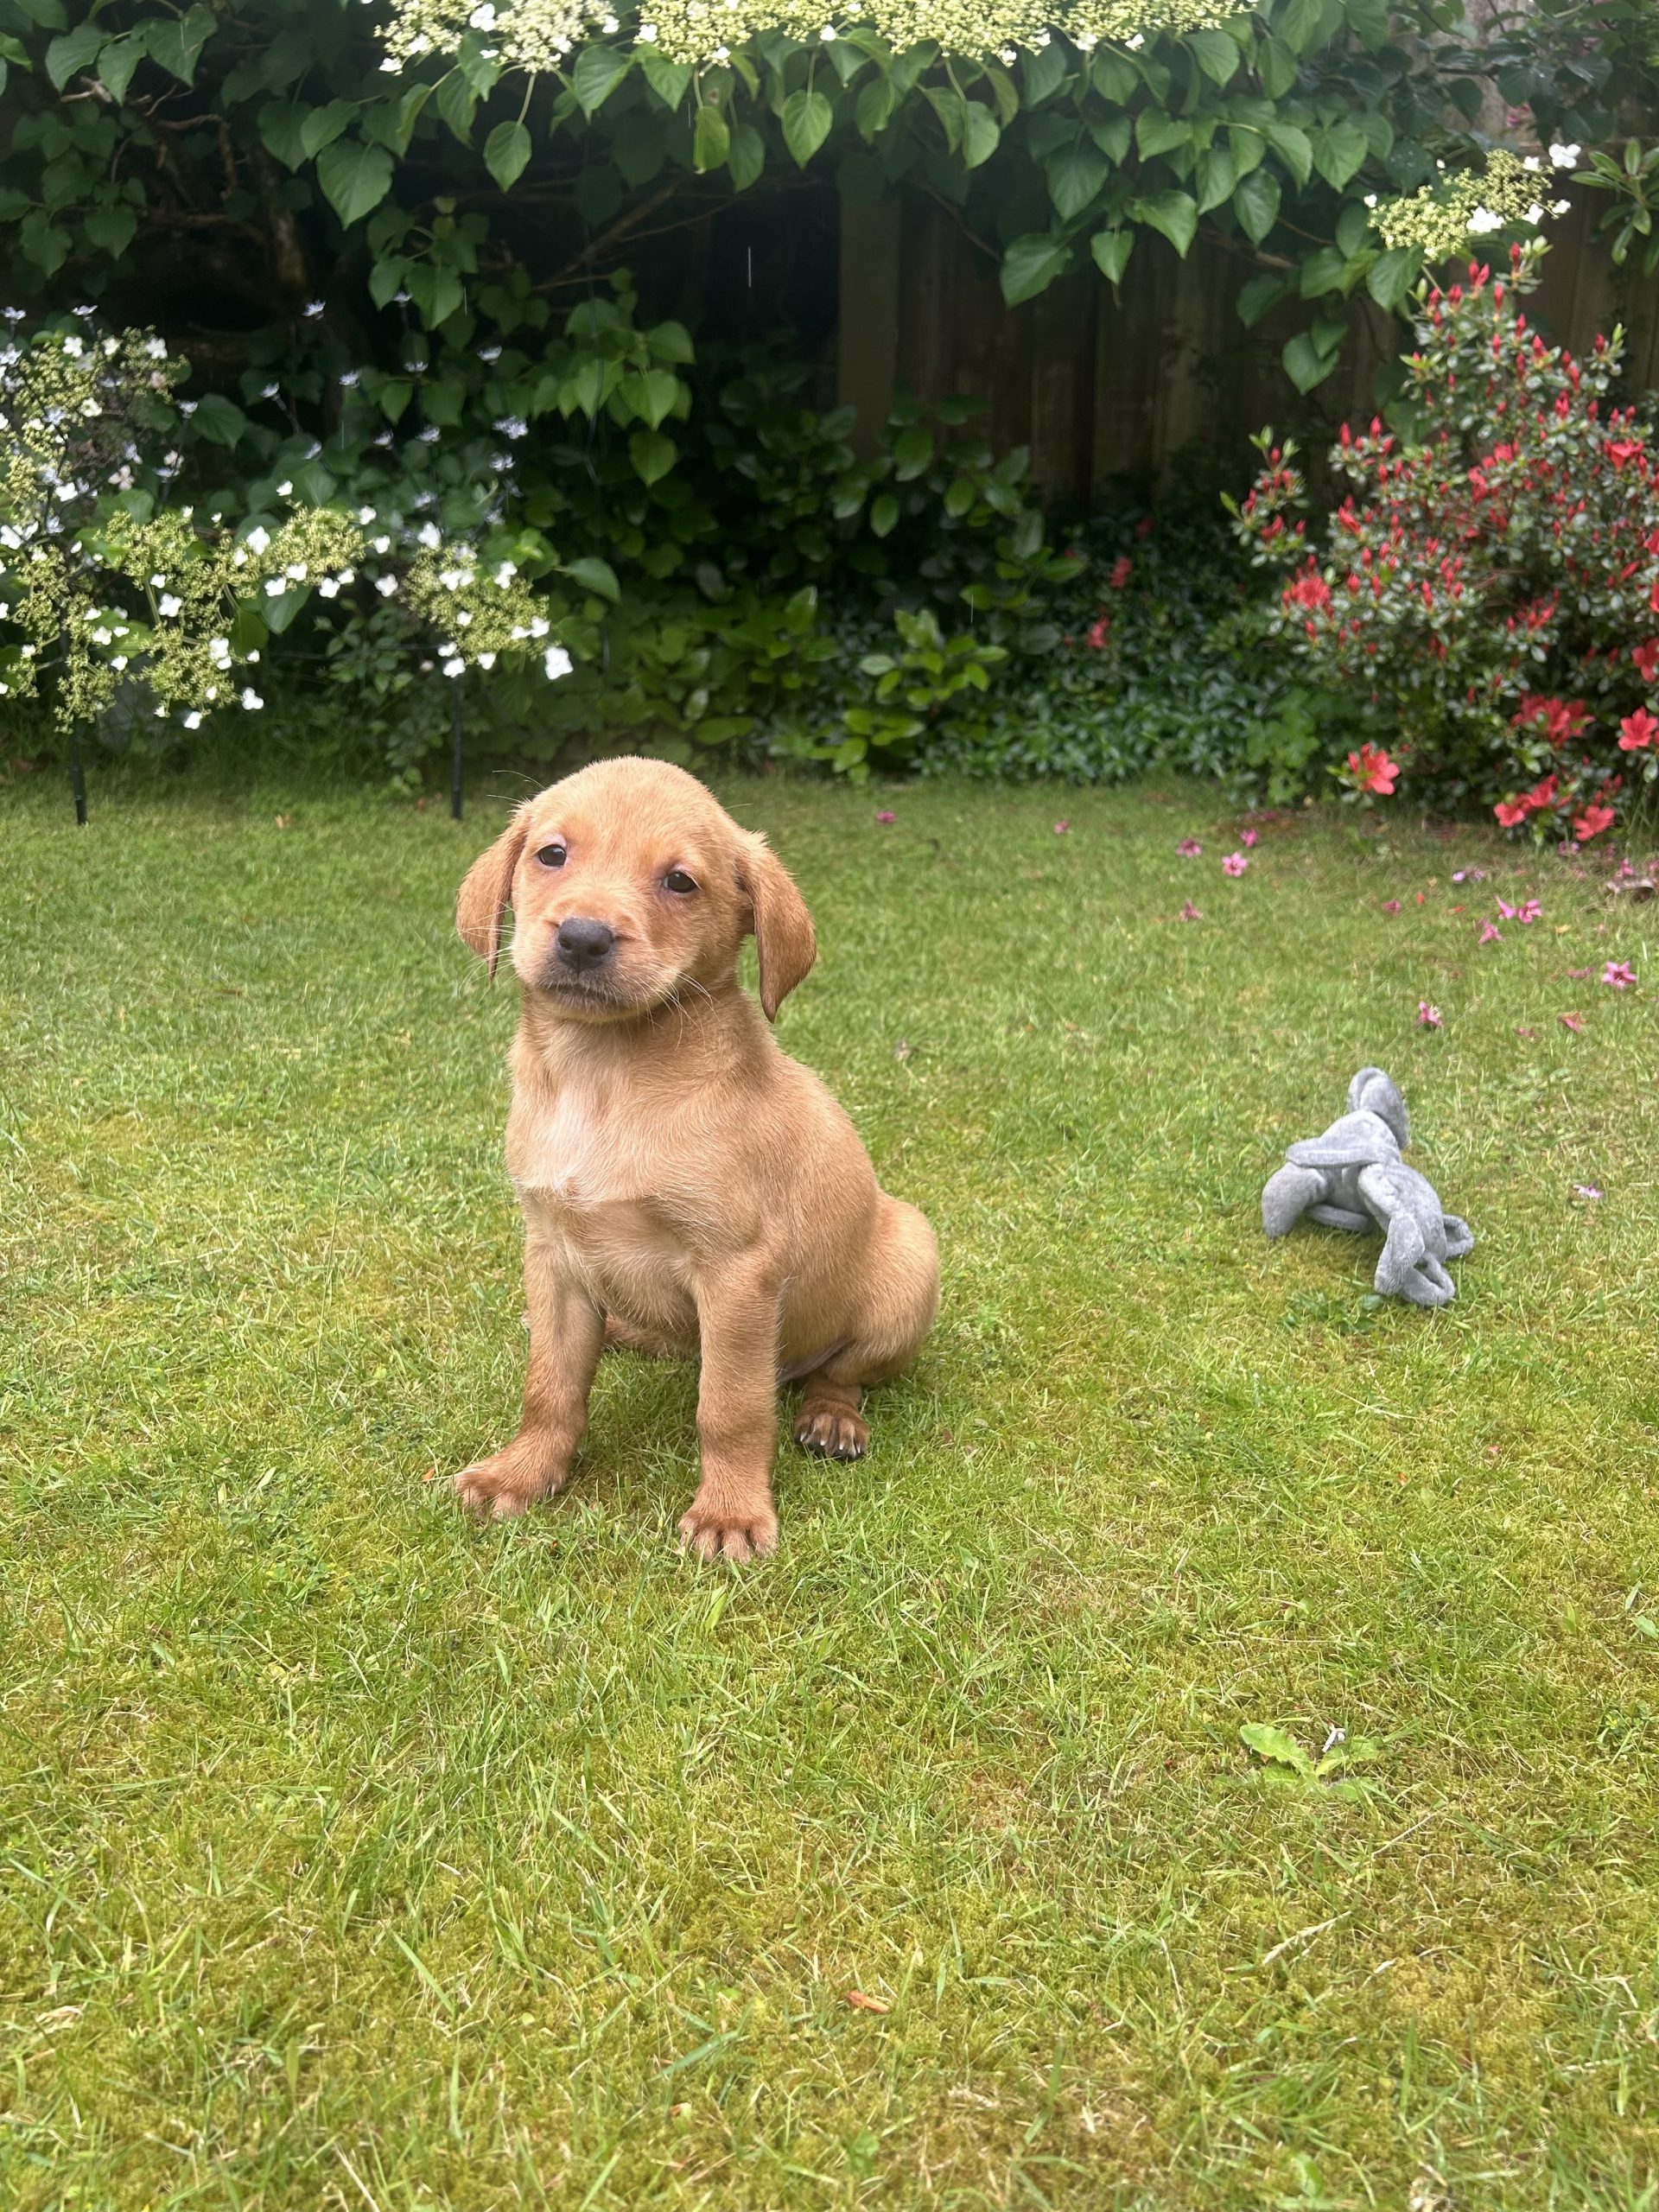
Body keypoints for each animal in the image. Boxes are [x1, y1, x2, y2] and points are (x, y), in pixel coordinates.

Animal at [452, 758, 939, 1561]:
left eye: (680, 881)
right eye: (552, 854)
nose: (582, 938)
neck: (604, 1071)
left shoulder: (737, 1272)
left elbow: (730, 1407)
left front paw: (730, 1511)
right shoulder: (551, 1252)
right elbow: (550, 1387)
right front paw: (521, 1472)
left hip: (910, 1259)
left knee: (841, 1372)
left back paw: (831, 1417)